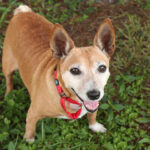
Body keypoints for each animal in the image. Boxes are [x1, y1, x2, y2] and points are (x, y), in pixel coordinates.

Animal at [2, 4, 115, 142]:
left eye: (102, 68)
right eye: (75, 70)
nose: (94, 94)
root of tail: (22, 12)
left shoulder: (93, 106)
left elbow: (92, 114)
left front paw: (94, 126)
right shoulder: (32, 114)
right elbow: (30, 130)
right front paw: (29, 141)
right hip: (7, 64)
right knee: (9, 79)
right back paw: (9, 94)